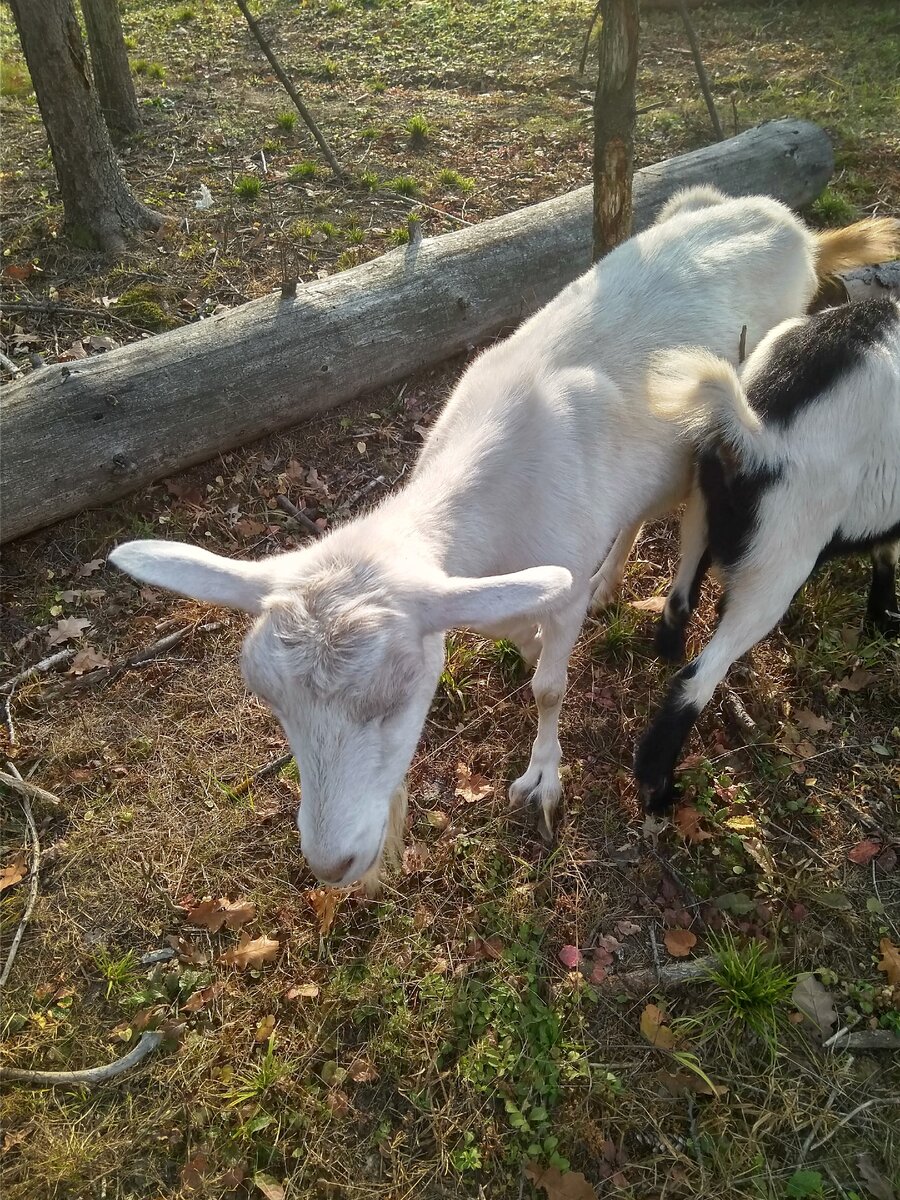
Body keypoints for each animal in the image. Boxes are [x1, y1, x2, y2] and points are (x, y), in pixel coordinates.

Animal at [633, 295, 900, 811]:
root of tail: (759, 435)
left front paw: (881, 618)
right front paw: (885, 619)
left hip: (702, 509)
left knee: (680, 598)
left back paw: (669, 650)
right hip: (780, 563)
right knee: (698, 677)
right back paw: (659, 789)